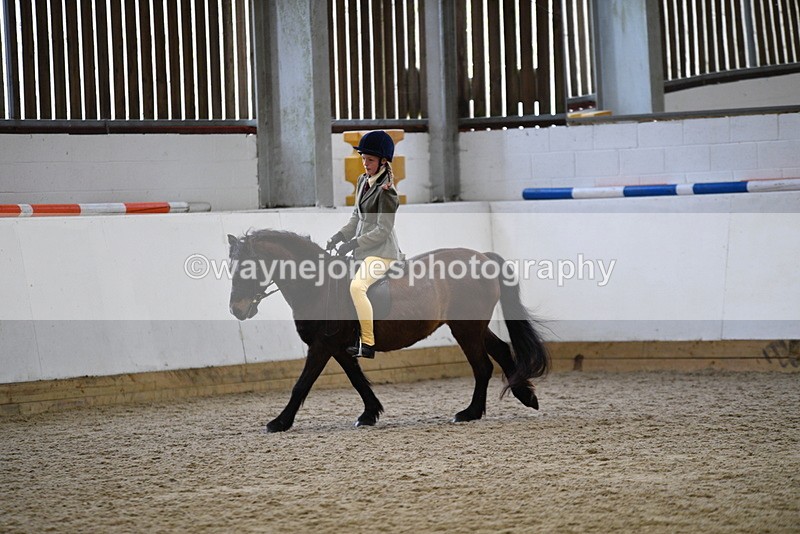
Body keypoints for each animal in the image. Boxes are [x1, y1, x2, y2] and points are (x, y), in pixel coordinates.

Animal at [227, 229, 550, 432]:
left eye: (247, 268)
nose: (236, 310)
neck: (317, 286)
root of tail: (482, 257)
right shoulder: (338, 347)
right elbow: (357, 379)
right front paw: (369, 414)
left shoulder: (321, 346)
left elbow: (301, 384)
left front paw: (279, 423)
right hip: (470, 326)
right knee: (500, 350)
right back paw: (525, 396)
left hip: (466, 329)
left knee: (482, 366)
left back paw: (469, 413)